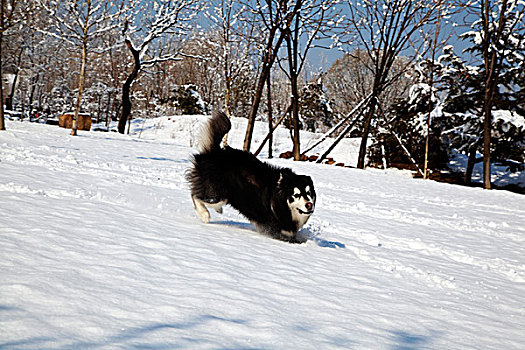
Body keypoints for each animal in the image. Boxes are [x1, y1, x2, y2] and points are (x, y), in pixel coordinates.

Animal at [187, 110, 316, 242]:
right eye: (296, 195)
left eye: (308, 193)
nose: (309, 205)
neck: (281, 202)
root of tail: (214, 152)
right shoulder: (275, 229)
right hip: (218, 193)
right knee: (196, 195)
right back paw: (204, 214)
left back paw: (217, 210)